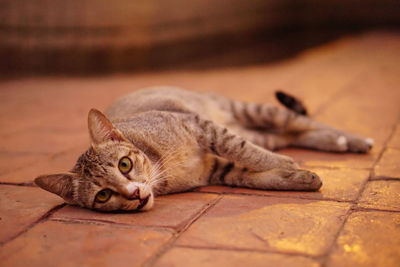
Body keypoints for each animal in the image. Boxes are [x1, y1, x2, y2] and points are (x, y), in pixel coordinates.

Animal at [34, 87, 372, 213]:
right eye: (103, 195)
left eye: (124, 165)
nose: (134, 193)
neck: (163, 169)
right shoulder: (218, 169)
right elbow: (252, 174)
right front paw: (296, 176)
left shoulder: (205, 128)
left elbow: (245, 152)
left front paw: (285, 164)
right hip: (261, 132)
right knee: (292, 133)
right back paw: (336, 143)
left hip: (254, 112)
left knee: (302, 122)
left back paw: (352, 140)